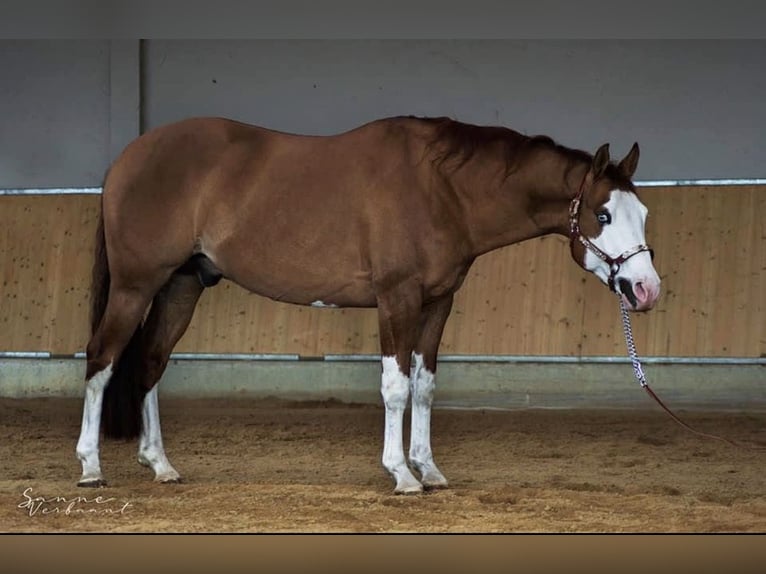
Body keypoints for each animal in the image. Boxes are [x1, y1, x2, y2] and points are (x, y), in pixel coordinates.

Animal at [75, 115, 660, 494]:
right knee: (102, 360)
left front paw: (428, 470)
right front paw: (401, 474)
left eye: (644, 215)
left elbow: (423, 386)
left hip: (182, 285)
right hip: (135, 285)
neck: (442, 189)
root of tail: (128, 158)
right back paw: (91, 467)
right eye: (603, 215)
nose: (646, 289)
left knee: (150, 363)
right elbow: (395, 386)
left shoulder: (437, 304)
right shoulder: (396, 298)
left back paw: (160, 465)